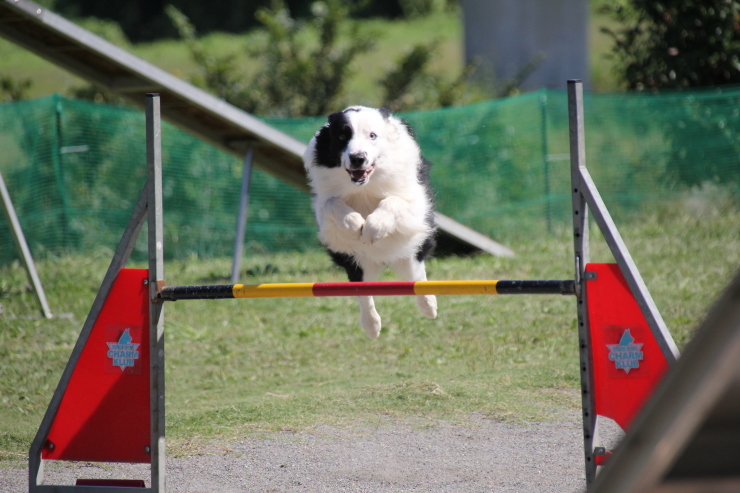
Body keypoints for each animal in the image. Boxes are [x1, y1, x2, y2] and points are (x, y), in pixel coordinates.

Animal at [302, 107, 436, 338]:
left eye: (372, 136)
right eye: (342, 136)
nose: (357, 158)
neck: (364, 187)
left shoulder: (415, 204)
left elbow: (393, 200)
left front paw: (373, 228)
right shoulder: (324, 209)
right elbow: (330, 203)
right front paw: (356, 224)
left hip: (409, 251)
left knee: (417, 276)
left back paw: (429, 305)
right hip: (355, 260)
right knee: (361, 289)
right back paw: (372, 326)